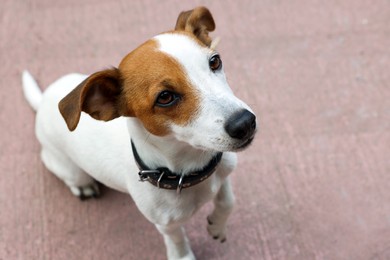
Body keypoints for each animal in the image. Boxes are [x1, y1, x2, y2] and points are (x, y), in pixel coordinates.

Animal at [22, 6, 258, 260]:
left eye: (214, 61)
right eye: (165, 97)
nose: (245, 123)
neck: (191, 170)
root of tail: (43, 99)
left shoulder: (223, 172)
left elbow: (227, 201)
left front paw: (217, 226)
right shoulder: (166, 224)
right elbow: (178, 240)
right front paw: (183, 254)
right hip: (70, 169)